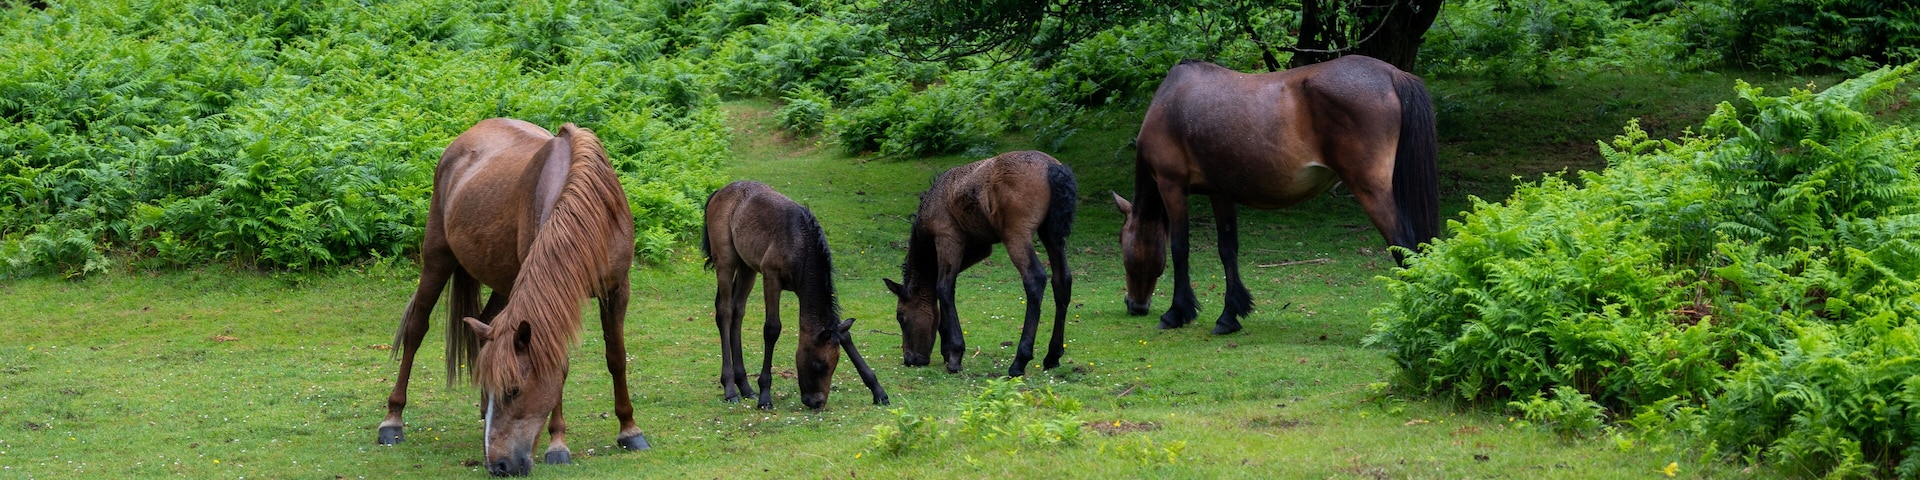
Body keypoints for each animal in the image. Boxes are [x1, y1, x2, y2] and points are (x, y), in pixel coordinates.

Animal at [376, 118, 649, 477]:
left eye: (513, 390)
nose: (499, 465)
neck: (590, 216)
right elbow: (559, 363)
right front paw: (558, 444)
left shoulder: (617, 290)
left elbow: (616, 357)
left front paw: (629, 429)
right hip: (437, 259)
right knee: (416, 329)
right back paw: (392, 421)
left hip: (505, 284)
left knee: (485, 326)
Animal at [701, 180, 889, 409]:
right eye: (819, 364)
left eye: (834, 365)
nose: (816, 402)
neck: (801, 244)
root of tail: (719, 192)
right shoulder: (771, 277)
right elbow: (772, 329)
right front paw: (765, 395)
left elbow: (844, 334)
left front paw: (878, 391)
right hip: (726, 259)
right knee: (725, 312)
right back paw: (730, 389)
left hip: (747, 266)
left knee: (738, 310)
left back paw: (745, 386)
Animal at [883, 150, 1078, 376]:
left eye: (901, 317)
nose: (910, 359)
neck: (931, 203)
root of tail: (1054, 169)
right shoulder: (980, 247)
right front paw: (946, 348)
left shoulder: (948, 238)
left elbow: (944, 287)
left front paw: (954, 353)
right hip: (1052, 235)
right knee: (1062, 281)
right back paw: (1052, 356)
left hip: (1016, 235)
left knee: (1035, 279)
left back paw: (1019, 361)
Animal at [1112, 55, 1439, 335]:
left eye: (1122, 241)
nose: (1134, 305)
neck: (1171, 101)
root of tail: (1392, 74)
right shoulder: (1221, 193)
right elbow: (1227, 249)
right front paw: (1229, 315)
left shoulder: (1172, 186)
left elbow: (1180, 248)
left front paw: (1175, 313)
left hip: (1371, 190)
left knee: (1404, 246)